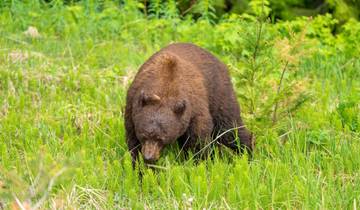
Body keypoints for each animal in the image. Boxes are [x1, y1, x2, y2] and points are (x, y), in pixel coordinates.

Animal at [125, 42, 255, 164]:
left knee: (230, 128)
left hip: (219, 94)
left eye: (161, 138)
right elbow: (133, 143)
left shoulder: (194, 110)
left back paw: (248, 152)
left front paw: (200, 161)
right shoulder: (132, 107)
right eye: (143, 135)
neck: (165, 88)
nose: (149, 157)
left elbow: (198, 140)